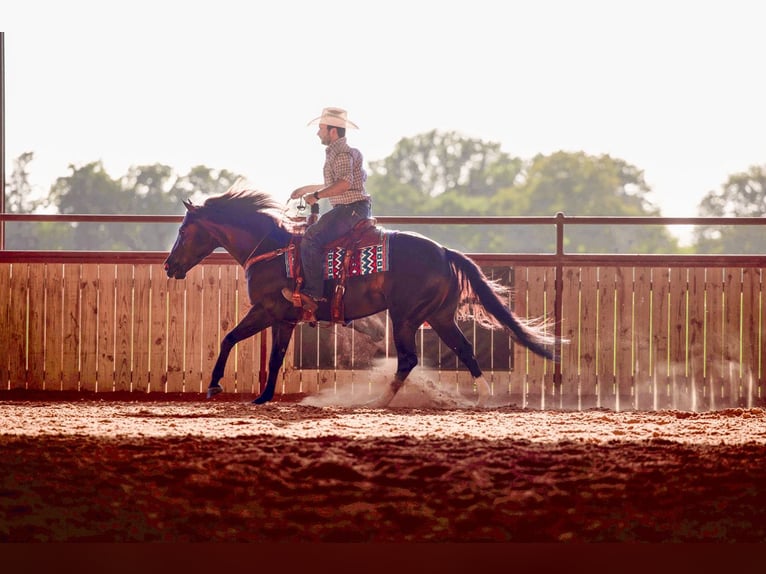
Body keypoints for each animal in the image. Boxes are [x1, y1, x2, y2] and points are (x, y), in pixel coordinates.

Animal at [165, 187, 564, 408]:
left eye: (184, 231)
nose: (170, 266)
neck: (273, 250)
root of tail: (444, 251)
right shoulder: (281, 318)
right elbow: (264, 353)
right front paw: (256, 395)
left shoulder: (269, 311)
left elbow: (237, 341)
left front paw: (220, 386)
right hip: (438, 316)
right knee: (463, 349)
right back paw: (480, 397)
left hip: (405, 317)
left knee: (408, 359)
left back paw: (380, 400)